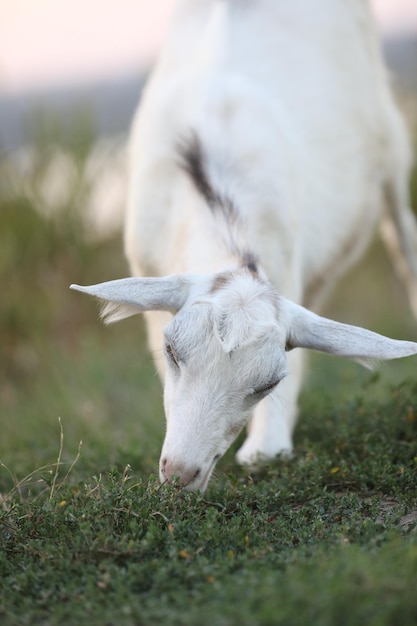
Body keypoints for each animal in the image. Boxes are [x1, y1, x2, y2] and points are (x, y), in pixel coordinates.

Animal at [70, 0, 416, 492]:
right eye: (172, 353)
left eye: (266, 384)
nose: (179, 474)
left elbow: (269, 446)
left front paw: (265, 446)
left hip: (391, 145)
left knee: (402, 236)